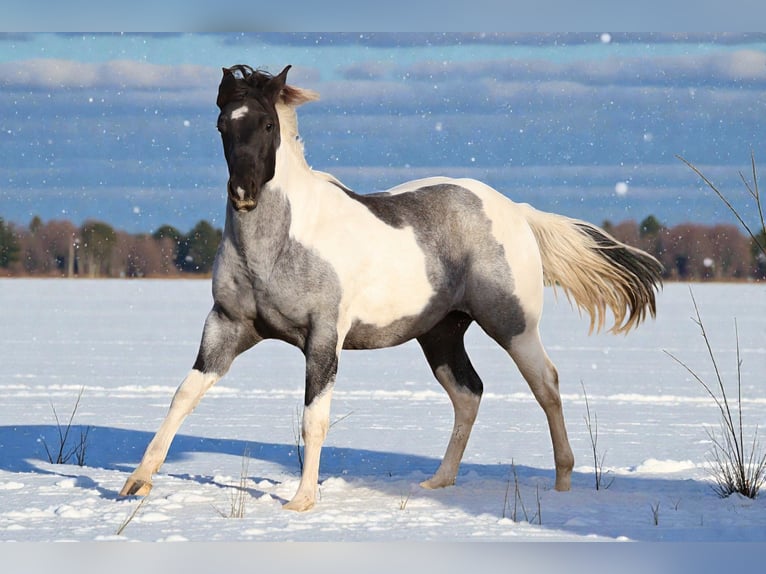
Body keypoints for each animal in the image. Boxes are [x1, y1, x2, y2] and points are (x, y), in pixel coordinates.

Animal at [119, 64, 663, 511]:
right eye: (222, 125)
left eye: (268, 125)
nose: (244, 193)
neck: (276, 249)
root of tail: (515, 210)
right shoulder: (227, 327)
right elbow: (183, 396)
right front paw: (137, 482)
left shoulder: (323, 337)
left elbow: (313, 418)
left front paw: (301, 501)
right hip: (440, 333)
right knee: (469, 393)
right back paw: (438, 482)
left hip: (512, 326)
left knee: (546, 385)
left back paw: (563, 482)